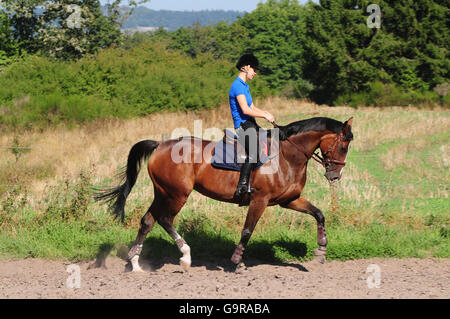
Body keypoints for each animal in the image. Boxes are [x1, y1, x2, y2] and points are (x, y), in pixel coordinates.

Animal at [95, 117, 354, 272]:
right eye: (343, 146)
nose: (335, 176)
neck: (287, 156)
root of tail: (160, 145)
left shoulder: (288, 200)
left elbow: (319, 214)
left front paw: (321, 249)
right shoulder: (260, 200)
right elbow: (248, 230)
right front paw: (237, 261)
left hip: (162, 192)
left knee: (147, 220)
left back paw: (136, 263)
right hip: (177, 194)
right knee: (164, 219)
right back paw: (185, 256)